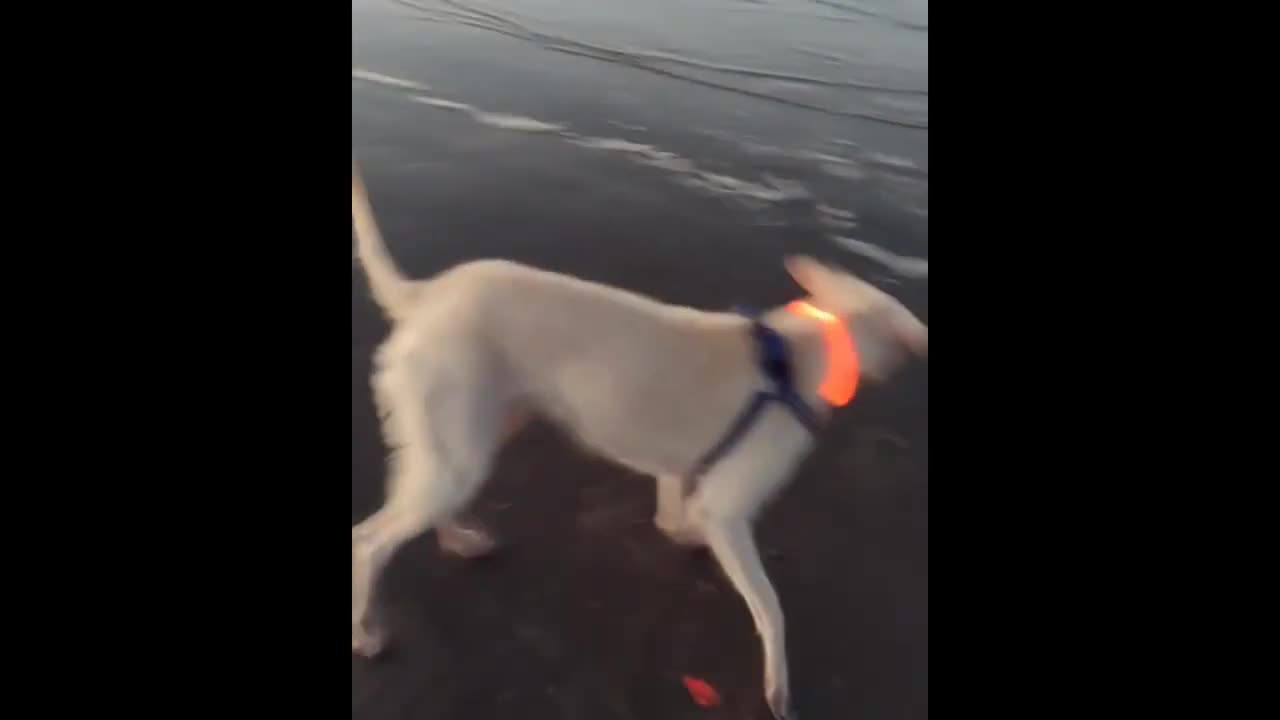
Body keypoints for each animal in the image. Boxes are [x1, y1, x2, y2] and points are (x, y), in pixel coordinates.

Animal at [350, 159, 931, 712]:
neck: (799, 352)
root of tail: (426, 294)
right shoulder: (729, 508)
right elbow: (771, 608)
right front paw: (778, 689)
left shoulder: (678, 479)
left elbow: (676, 520)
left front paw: (687, 536)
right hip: (459, 449)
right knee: (369, 542)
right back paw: (367, 633)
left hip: (473, 437)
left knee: (427, 503)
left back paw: (459, 540)